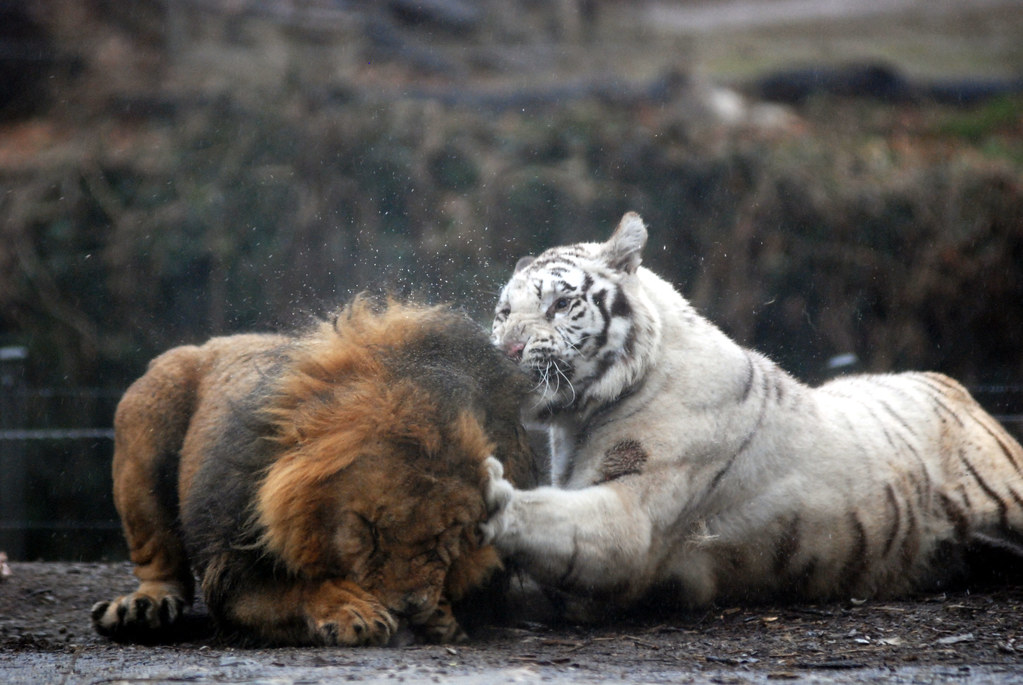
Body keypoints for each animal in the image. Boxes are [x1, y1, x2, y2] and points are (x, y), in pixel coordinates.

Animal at [91, 297, 536, 645]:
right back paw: (143, 609)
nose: (410, 611)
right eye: (368, 530)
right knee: (158, 558)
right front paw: (352, 610)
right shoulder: (232, 566)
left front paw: (441, 616)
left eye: (448, 533)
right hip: (147, 406)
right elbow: (295, 590)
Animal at [481, 211, 1023, 614]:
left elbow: (556, 519)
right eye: (504, 313)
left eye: (560, 304)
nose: (505, 351)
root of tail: (957, 387)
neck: (581, 418)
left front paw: (493, 499)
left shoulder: (632, 523)